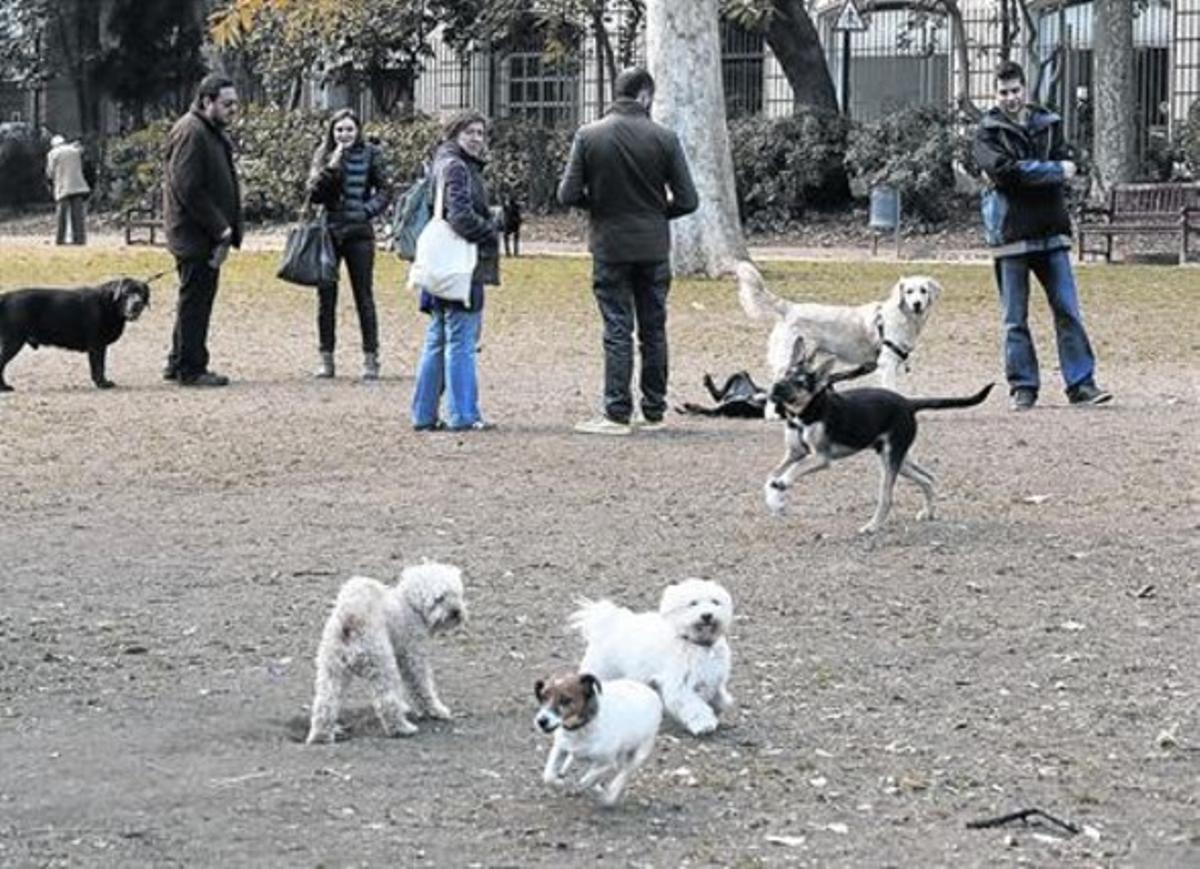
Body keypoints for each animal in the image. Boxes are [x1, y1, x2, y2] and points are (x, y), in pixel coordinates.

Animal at [0, 276, 152, 391]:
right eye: (126, 293)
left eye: (142, 293)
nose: (137, 303)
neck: (109, 304)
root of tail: (6, 296)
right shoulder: (96, 345)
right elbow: (99, 366)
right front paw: (102, 384)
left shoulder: (100, 346)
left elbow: (100, 366)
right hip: (13, 341)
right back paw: (4, 387)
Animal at [304, 564, 463, 748]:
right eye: (440, 598)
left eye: (456, 594)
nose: (456, 612)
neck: (410, 604)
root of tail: (350, 619)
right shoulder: (413, 657)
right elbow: (423, 688)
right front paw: (436, 711)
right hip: (382, 664)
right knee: (387, 702)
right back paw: (402, 729)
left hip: (331, 669)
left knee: (325, 704)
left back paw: (321, 736)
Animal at [568, 580, 729, 734]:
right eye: (693, 603)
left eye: (715, 602)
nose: (707, 615)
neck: (696, 645)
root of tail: (607, 625)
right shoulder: (679, 686)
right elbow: (694, 706)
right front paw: (704, 724)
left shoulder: (712, 677)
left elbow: (717, 695)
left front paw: (721, 703)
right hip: (603, 671)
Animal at [734, 258, 940, 391]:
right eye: (909, 291)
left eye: (923, 290)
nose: (917, 304)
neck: (905, 317)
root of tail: (790, 307)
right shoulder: (887, 363)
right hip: (789, 357)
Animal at [763, 336, 998, 532]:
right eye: (785, 373)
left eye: (801, 383)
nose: (775, 387)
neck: (806, 413)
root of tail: (908, 403)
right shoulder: (794, 453)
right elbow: (772, 474)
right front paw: (775, 499)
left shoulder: (821, 458)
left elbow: (794, 469)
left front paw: (783, 483)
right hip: (900, 460)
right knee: (928, 478)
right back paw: (929, 512)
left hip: (890, 460)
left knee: (887, 497)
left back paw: (873, 526)